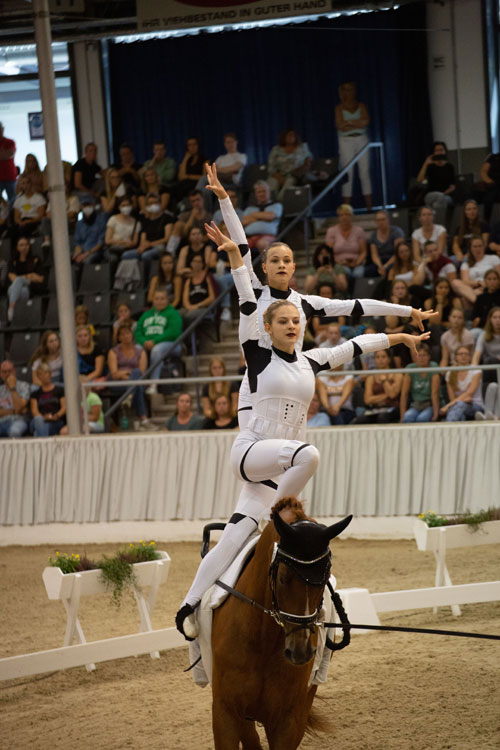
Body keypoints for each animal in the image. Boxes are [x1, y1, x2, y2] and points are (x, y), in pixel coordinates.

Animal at [211, 500, 352, 750]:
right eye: (284, 577)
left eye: (325, 580)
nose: (301, 652)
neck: (263, 641)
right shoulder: (225, 712)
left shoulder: (288, 721)